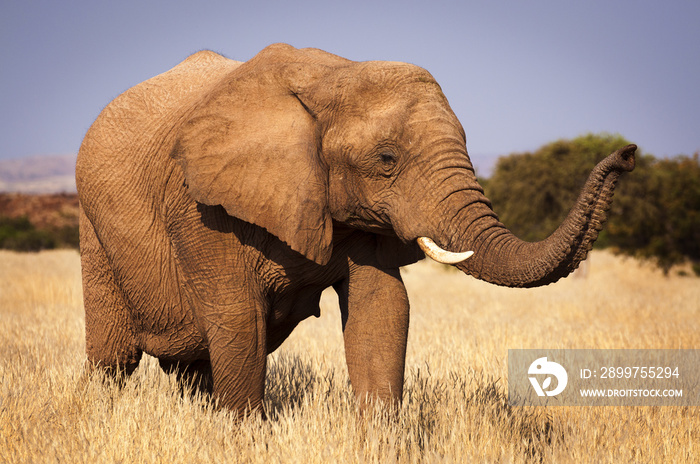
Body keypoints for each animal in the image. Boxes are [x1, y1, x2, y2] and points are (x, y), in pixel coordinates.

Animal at [75, 43, 636, 416]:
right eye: (387, 159)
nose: (628, 152)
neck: (332, 76)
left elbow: (381, 307)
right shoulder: (201, 206)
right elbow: (238, 318)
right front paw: (242, 435)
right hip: (93, 226)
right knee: (115, 357)